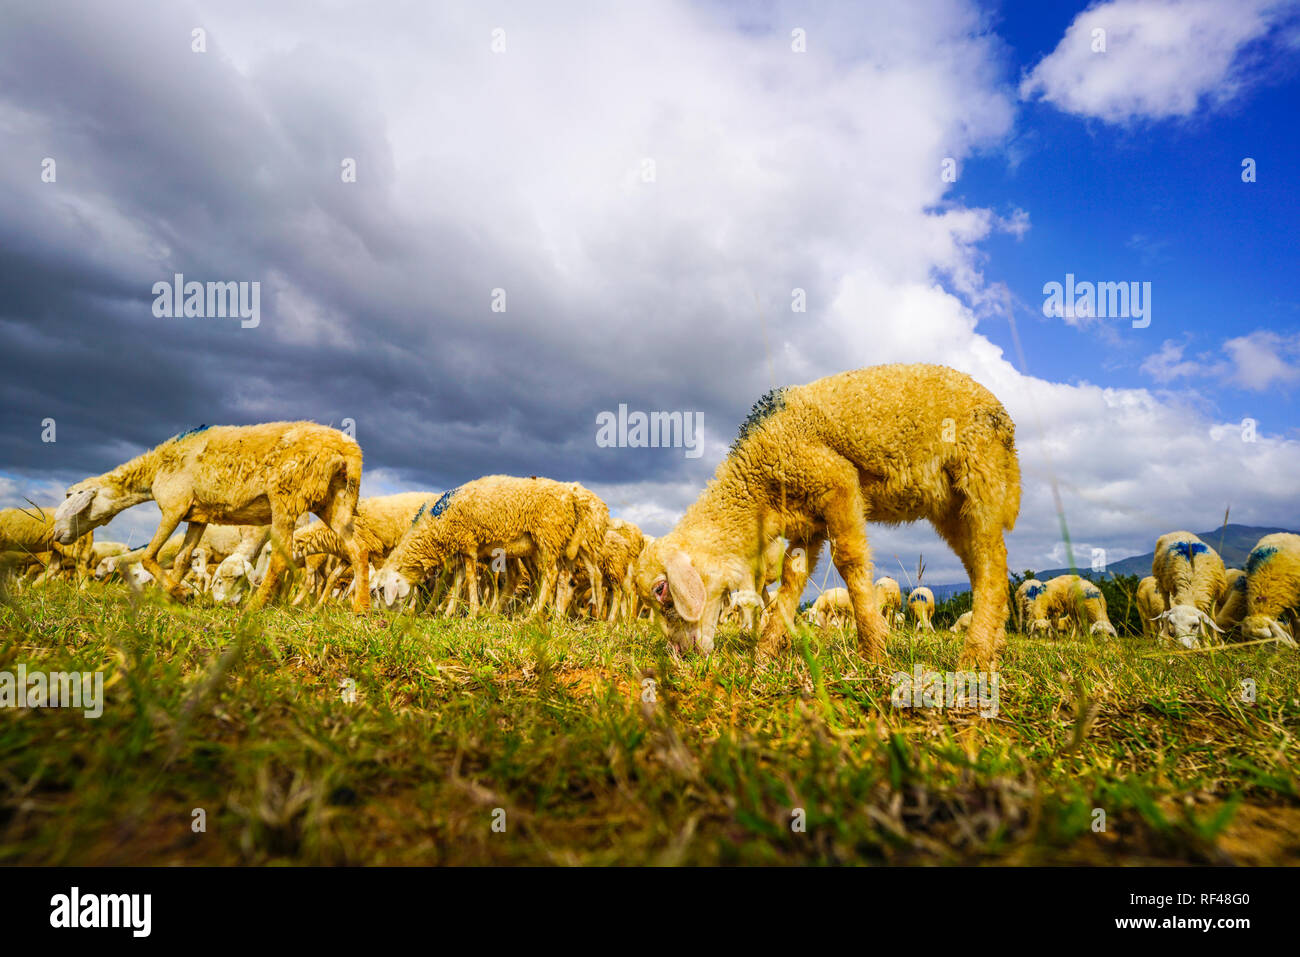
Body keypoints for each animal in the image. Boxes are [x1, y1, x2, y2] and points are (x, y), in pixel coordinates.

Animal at [53, 423, 369, 616]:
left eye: (70, 495)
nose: (57, 536)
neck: (154, 470)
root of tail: (349, 449)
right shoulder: (197, 516)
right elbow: (181, 561)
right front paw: (172, 596)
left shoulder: (174, 507)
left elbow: (148, 556)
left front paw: (178, 593)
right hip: (335, 501)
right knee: (357, 549)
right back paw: (362, 608)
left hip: (287, 497)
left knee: (281, 558)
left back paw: (255, 608)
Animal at [377, 475, 595, 616]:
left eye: (380, 589)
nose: (381, 615)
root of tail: (571, 495)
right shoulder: (459, 550)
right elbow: (457, 582)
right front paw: (442, 612)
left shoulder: (467, 543)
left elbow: (469, 579)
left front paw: (472, 612)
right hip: (548, 543)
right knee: (553, 576)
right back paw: (545, 615)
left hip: (548, 535)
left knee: (551, 574)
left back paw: (531, 615)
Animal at [634, 361, 1019, 670]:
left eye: (661, 590)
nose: (678, 653)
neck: (759, 488)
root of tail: (1002, 414)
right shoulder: (809, 523)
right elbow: (792, 579)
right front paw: (766, 652)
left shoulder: (838, 483)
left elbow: (849, 562)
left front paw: (873, 651)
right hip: (952, 507)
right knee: (979, 565)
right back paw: (995, 645)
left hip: (979, 474)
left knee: (992, 561)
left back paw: (975, 654)